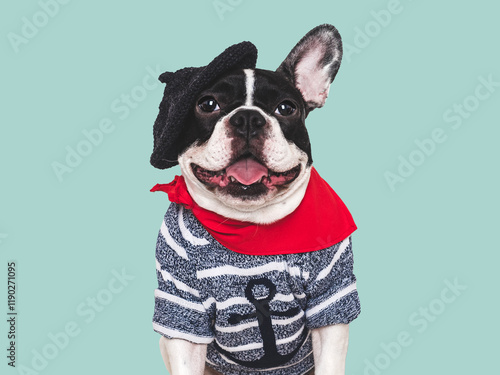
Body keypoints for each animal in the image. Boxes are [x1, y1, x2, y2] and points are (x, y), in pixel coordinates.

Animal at [150, 24, 362, 375]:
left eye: (287, 108)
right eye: (207, 104)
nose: (248, 118)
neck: (248, 227)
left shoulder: (330, 295)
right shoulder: (181, 307)